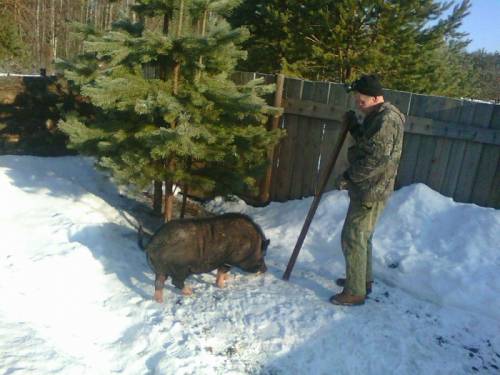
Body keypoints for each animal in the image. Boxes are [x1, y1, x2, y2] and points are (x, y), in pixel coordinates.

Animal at [141, 213, 270, 304]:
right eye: (263, 255)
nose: (266, 269)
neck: (250, 245)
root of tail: (152, 243)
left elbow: (221, 271)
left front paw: (227, 278)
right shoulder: (228, 260)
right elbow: (222, 271)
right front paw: (222, 286)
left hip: (161, 268)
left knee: (158, 283)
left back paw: (159, 301)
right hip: (181, 268)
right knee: (175, 282)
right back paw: (190, 292)